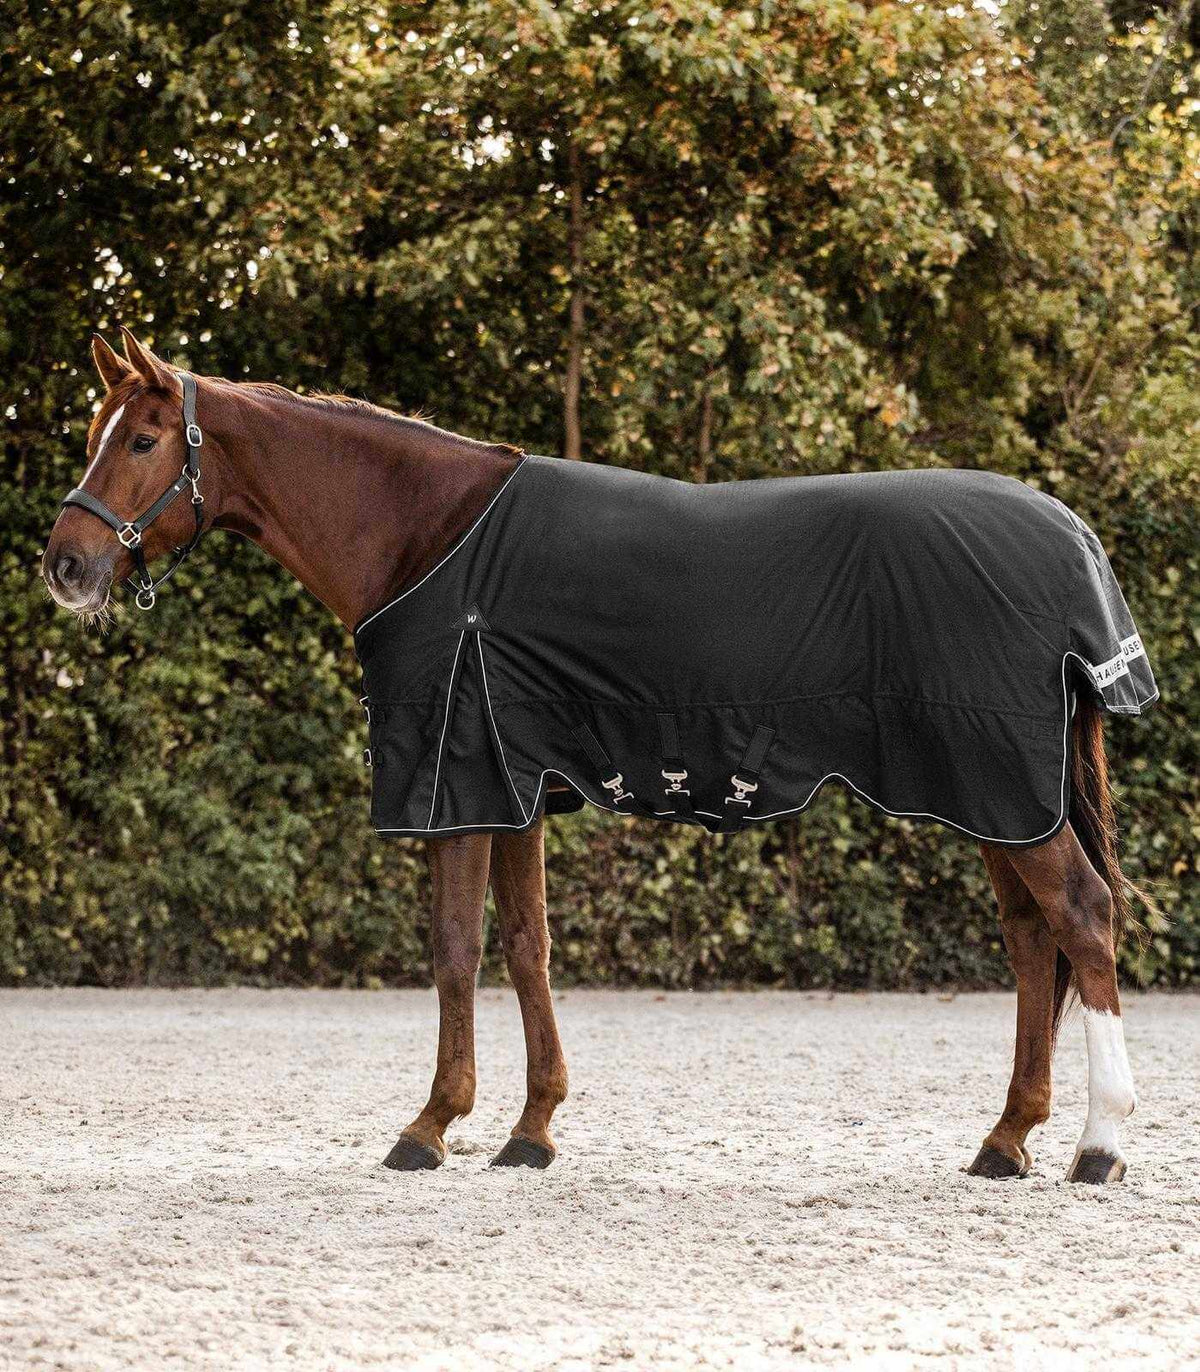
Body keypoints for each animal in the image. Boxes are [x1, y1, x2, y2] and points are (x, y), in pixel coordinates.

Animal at [42, 328, 1152, 1184]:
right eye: (93, 436)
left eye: (142, 438)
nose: (65, 565)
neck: (426, 534)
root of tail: (1071, 537)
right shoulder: (516, 789)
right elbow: (527, 946)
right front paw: (530, 1131)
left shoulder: (458, 781)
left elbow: (454, 950)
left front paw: (429, 1126)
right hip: (1000, 797)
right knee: (1032, 939)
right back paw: (1007, 1139)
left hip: (1002, 785)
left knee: (1083, 917)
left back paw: (1097, 1145)